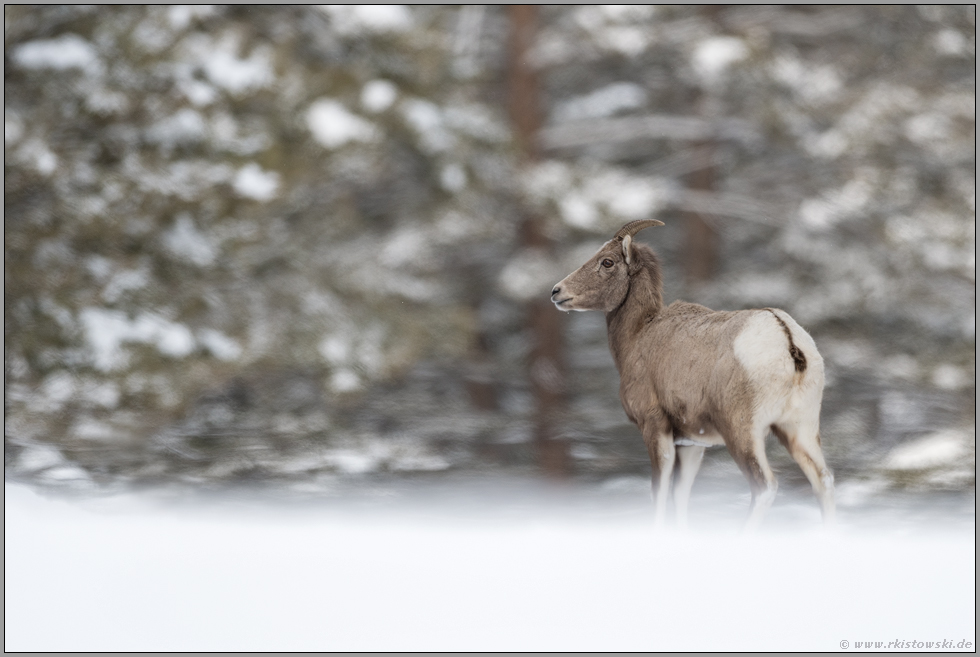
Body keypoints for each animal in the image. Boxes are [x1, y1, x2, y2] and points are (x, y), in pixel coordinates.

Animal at [552, 220, 836, 528]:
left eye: (607, 261)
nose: (557, 291)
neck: (639, 335)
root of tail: (787, 339)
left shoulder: (655, 428)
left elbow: (659, 492)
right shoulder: (691, 443)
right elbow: (681, 495)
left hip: (742, 434)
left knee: (764, 486)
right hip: (799, 430)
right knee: (823, 481)